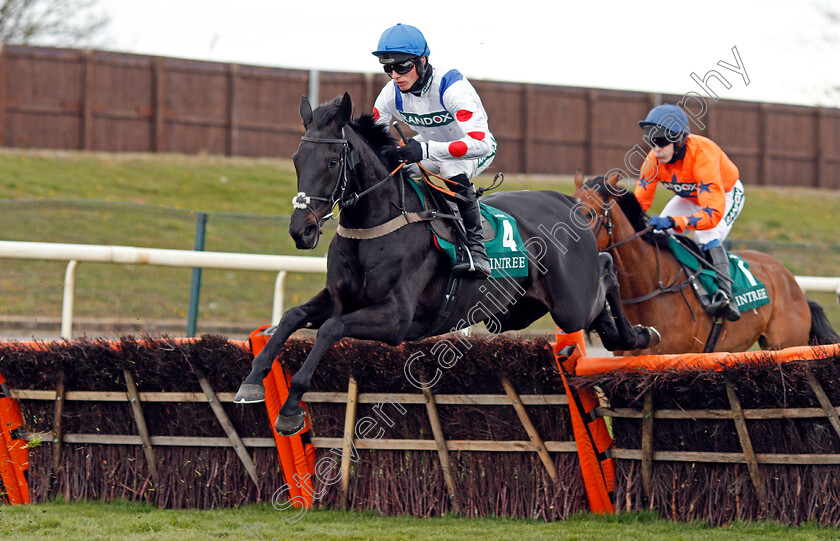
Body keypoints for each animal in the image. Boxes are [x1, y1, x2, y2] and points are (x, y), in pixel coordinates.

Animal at [233, 93, 660, 434]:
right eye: (296, 159)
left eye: (332, 160)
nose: (301, 230)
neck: (378, 224)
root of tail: (569, 202)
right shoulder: (340, 298)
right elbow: (292, 317)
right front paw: (251, 381)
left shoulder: (396, 318)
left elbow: (330, 329)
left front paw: (290, 408)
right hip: (526, 310)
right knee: (600, 315)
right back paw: (626, 336)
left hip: (571, 302)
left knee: (606, 269)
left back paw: (641, 334)